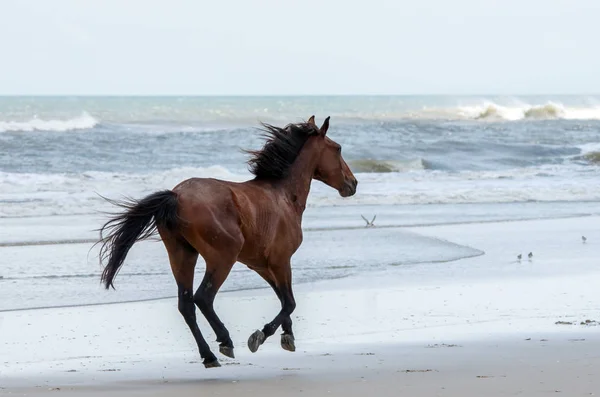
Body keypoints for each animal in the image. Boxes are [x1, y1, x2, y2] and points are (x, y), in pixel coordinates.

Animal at [95, 115, 354, 368]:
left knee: (186, 305)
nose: (353, 183)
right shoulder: (281, 261)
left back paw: (209, 355)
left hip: (182, 255)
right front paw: (260, 336)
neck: (283, 196)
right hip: (222, 258)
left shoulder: (262, 265)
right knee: (203, 298)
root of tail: (176, 196)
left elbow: (283, 299)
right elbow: (289, 302)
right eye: (338, 148)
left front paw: (287, 336)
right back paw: (225, 341)